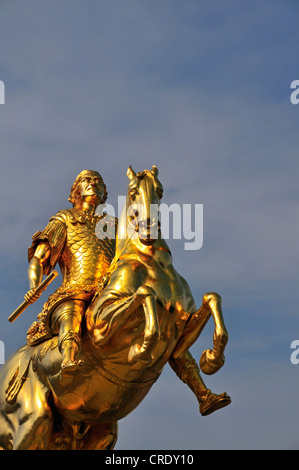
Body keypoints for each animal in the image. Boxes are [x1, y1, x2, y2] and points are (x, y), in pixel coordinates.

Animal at [0, 166, 231, 452]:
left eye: (160, 190)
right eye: (133, 192)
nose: (148, 228)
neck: (153, 264)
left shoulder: (182, 328)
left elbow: (211, 300)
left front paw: (212, 359)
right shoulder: (99, 326)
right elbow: (145, 294)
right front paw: (142, 349)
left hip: (100, 433)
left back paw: (210, 397)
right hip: (34, 422)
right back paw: (70, 362)